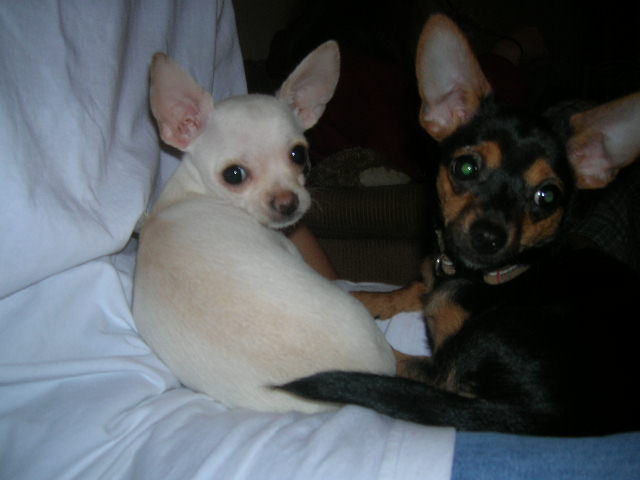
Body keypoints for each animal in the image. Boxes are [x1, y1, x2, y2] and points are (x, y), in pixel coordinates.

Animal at [280, 15, 640, 436]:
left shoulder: (439, 367)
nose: (488, 237)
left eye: (547, 197)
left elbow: (395, 354)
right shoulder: (431, 279)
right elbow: (406, 288)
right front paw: (362, 298)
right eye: (466, 167)